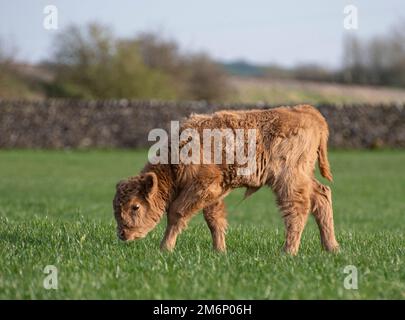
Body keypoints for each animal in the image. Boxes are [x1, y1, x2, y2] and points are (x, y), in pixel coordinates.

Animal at [113, 105, 338, 255]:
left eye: (135, 206)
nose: (122, 234)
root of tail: (308, 111)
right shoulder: (213, 191)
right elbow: (214, 219)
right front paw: (220, 251)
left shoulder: (203, 186)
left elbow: (177, 212)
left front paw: (164, 248)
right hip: (305, 177)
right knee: (322, 195)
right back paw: (332, 248)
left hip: (289, 179)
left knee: (297, 208)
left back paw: (288, 251)